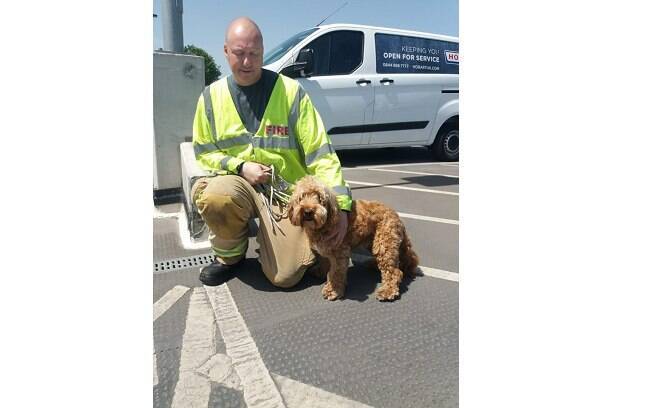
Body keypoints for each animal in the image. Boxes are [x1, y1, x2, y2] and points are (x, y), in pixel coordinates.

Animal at [288, 175, 420, 300]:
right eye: (301, 197)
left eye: (320, 198)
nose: (308, 211)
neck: (325, 224)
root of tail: (396, 215)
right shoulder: (323, 250)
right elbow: (325, 261)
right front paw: (321, 271)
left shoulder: (340, 252)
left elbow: (336, 273)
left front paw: (333, 290)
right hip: (372, 241)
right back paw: (374, 265)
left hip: (383, 243)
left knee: (394, 271)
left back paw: (387, 291)